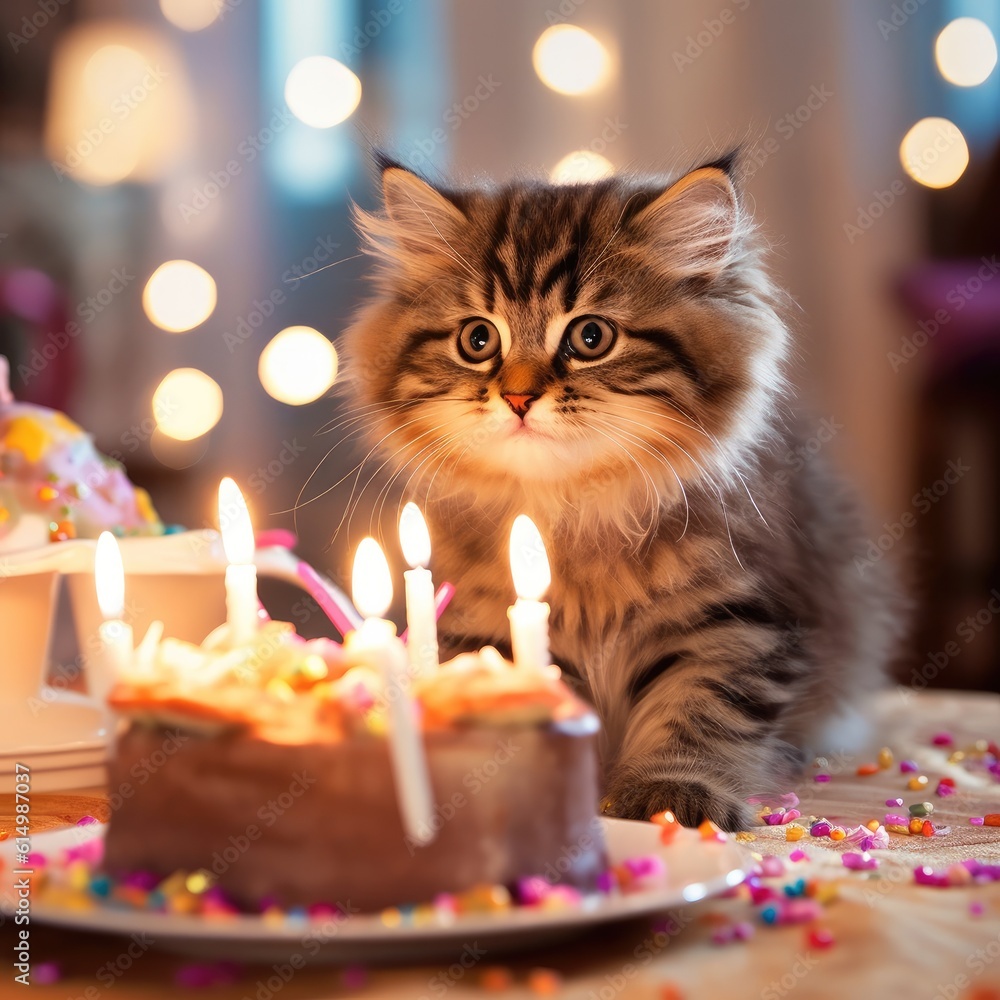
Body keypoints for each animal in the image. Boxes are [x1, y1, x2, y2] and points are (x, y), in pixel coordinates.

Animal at [344, 152, 900, 832]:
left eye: (590, 338)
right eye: (478, 340)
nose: (518, 396)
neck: (575, 509)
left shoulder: (738, 619)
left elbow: (703, 708)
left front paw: (671, 789)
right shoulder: (491, 623)